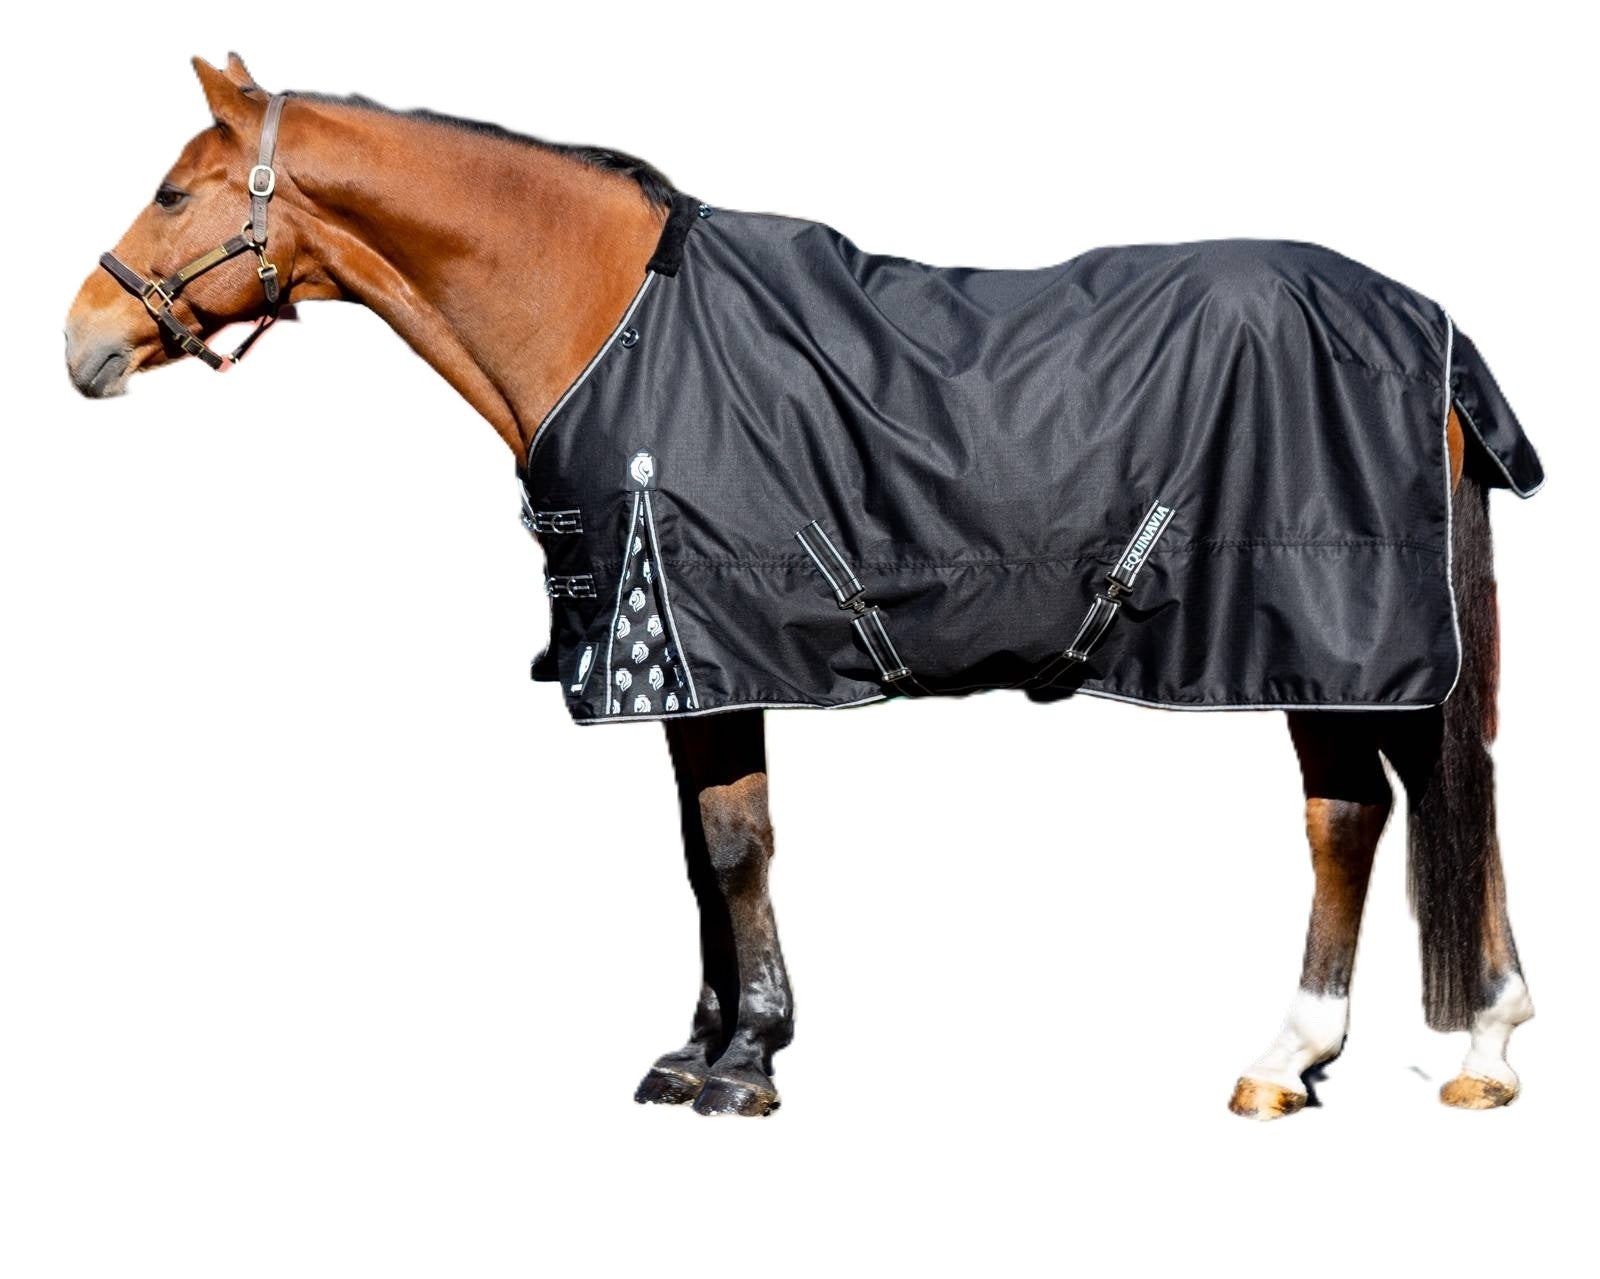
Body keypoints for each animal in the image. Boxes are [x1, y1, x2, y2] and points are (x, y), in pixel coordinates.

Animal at [64, 55, 1540, 1120]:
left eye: (176, 193)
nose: (81, 338)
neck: (612, 322)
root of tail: (1425, 327)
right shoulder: (677, 669)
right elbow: (691, 854)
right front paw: (693, 1046)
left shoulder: (706, 646)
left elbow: (733, 845)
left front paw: (748, 1061)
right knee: (1387, 805)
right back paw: (1386, 1049)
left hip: (1336, 639)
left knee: (1372, 808)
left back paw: (1387, 1047)